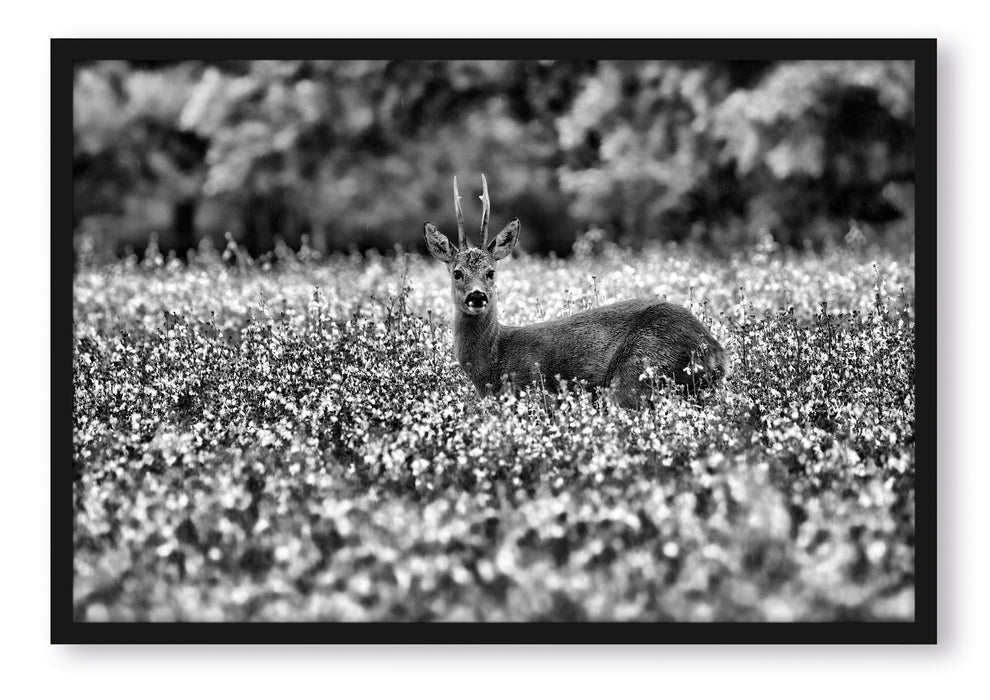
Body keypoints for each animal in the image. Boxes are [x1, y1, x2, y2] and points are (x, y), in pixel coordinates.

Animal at [420, 172, 728, 408]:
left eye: (491, 272)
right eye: (457, 273)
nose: (477, 296)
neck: (493, 362)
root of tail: (715, 351)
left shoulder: (534, 391)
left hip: (637, 373)